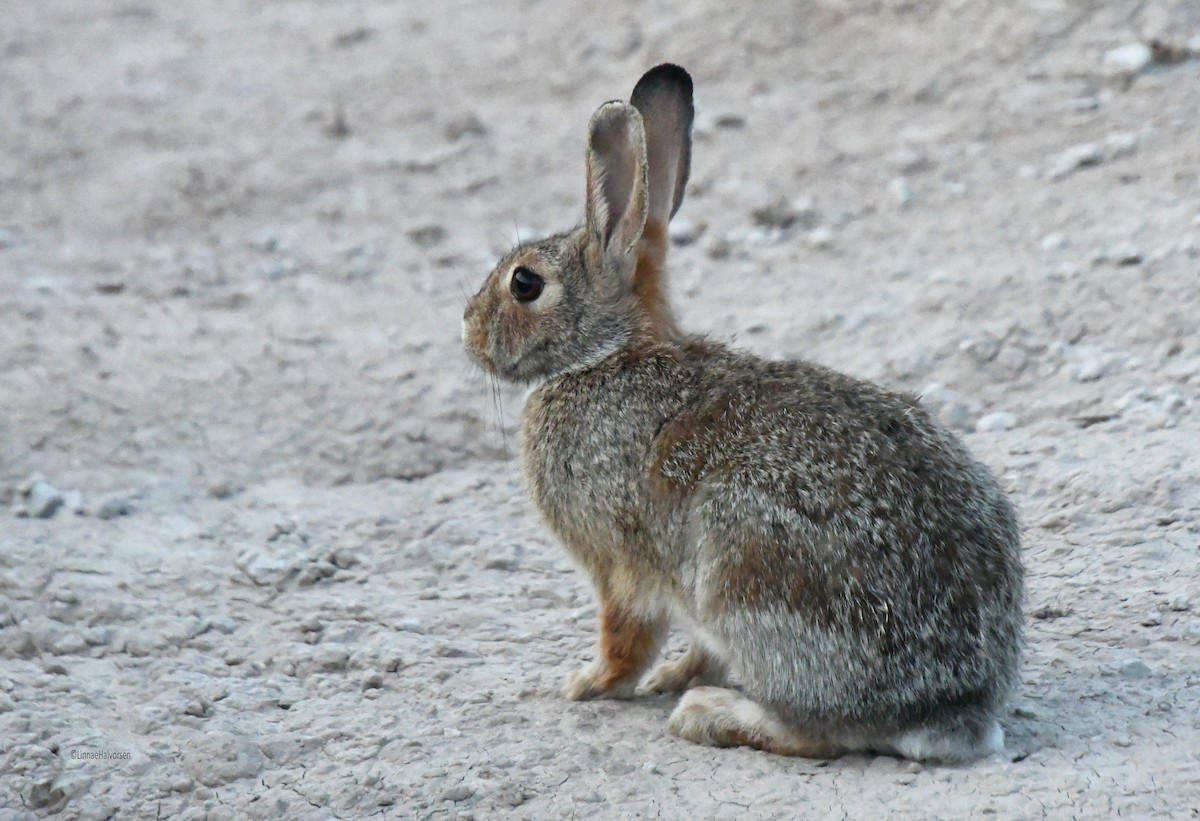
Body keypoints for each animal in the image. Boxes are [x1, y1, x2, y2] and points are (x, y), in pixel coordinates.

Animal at [462, 64, 1023, 763]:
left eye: (525, 283)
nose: (467, 331)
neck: (607, 354)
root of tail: (947, 705)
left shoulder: (617, 564)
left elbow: (625, 637)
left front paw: (589, 684)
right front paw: (672, 674)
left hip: (745, 572)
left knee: (817, 734)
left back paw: (708, 715)